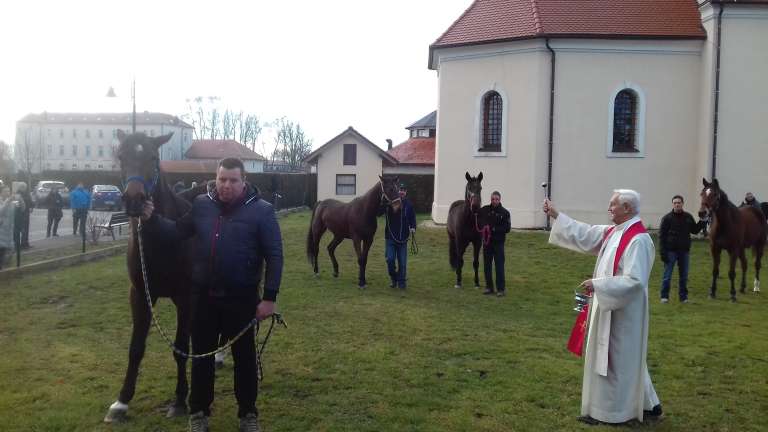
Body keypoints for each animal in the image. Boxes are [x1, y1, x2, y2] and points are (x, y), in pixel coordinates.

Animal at [104, 132, 194, 422]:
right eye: (122, 156)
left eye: (153, 157)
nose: (135, 200)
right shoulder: (140, 295)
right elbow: (135, 349)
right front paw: (121, 402)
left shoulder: (185, 297)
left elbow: (180, 348)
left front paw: (180, 400)